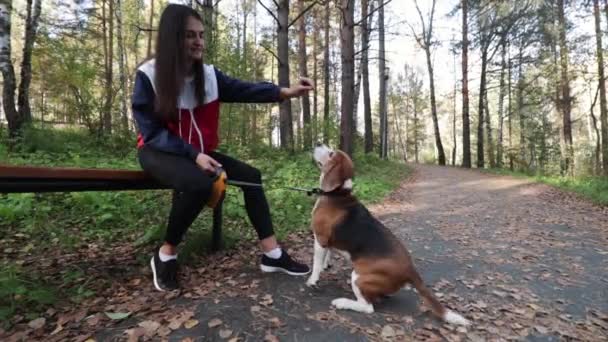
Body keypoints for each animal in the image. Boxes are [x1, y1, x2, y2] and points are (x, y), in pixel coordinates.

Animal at [308, 144, 470, 326]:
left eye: (331, 153)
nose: (318, 143)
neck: (338, 193)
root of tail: (410, 270)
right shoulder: (327, 241)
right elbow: (326, 255)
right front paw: (325, 265)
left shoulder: (319, 238)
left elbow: (316, 263)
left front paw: (313, 280)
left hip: (358, 276)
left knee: (367, 307)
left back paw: (343, 302)